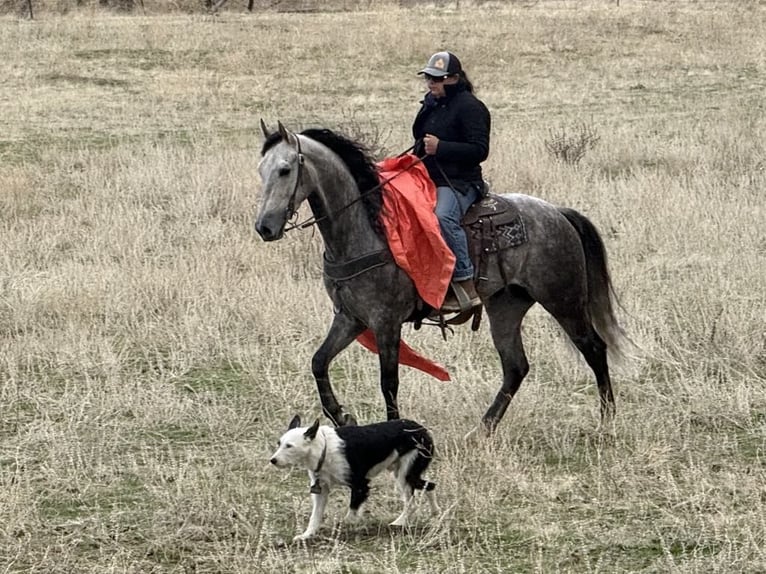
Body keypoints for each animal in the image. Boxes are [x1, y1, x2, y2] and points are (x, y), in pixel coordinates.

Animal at [255, 122, 628, 436]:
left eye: (285, 170)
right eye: (261, 170)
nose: (264, 227)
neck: (367, 229)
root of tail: (558, 213)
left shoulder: (386, 322)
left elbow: (388, 381)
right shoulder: (350, 318)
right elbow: (318, 362)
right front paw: (342, 416)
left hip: (564, 300)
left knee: (594, 348)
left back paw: (607, 421)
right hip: (506, 306)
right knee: (515, 366)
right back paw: (483, 429)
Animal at [270, 416, 440, 544]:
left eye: (289, 446)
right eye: (279, 443)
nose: (272, 460)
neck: (323, 449)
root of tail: (421, 428)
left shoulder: (360, 485)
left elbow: (350, 514)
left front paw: (346, 527)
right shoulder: (321, 490)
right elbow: (315, 516)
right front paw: (306, 535)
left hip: (406, 474)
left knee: (414, 500)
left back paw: (400, 523)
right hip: (403, 473)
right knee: (429, 486)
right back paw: (434, 513)